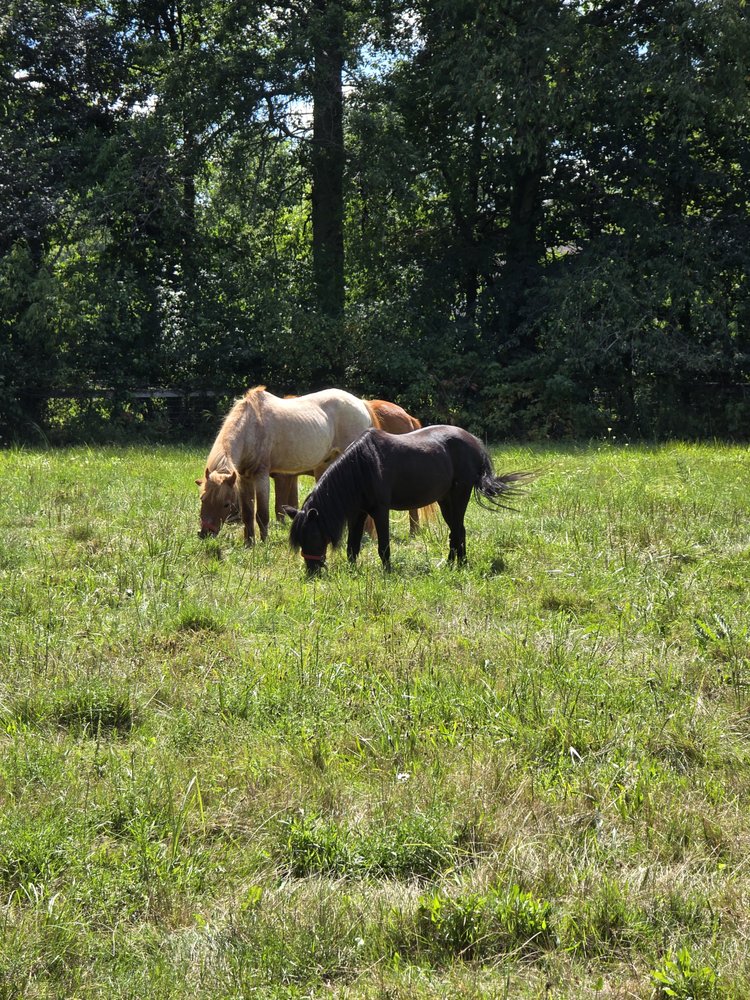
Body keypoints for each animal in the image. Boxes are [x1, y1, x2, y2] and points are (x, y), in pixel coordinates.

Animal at [196, 387, 374, 544]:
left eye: (226, 504)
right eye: (203, 499)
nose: (205, 534)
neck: (251, 428)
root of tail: (361, 403)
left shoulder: (261, 477)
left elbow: (262, 514)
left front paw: (264, 544)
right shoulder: (244, 479)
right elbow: (248, 514)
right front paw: (249, 544)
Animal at [285, 425, 533, 574]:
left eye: (312, 535)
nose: (312, 571)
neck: (362, 468)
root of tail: (474, 441)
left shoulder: (380, 511)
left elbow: (383, 546)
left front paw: (387, 572)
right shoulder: (358, 513)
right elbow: (352, 547)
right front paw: (352, 571)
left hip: (459, 496)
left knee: (458, 530)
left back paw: (459, 565)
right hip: (445, 500)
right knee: (456, 530)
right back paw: (451, 564)